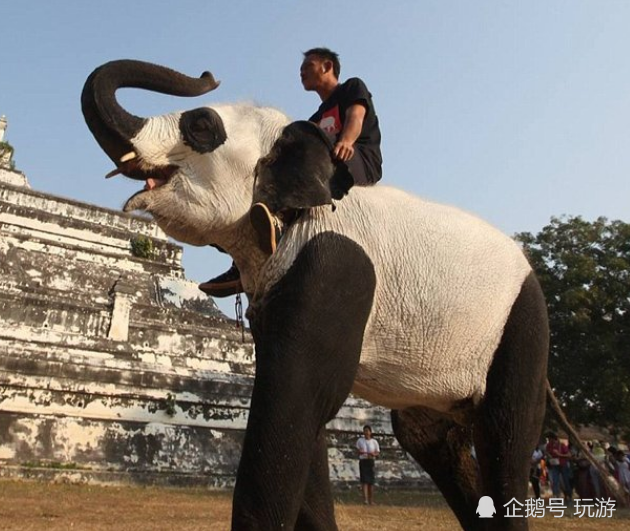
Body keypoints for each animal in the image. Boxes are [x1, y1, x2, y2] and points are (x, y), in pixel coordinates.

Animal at [81, 60, 552, 528]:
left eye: (200, 126)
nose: (208, 75)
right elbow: (303, 408)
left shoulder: (334, 268)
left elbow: (302, 397)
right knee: (427, 437)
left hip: (523, 326)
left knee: (503, 434)